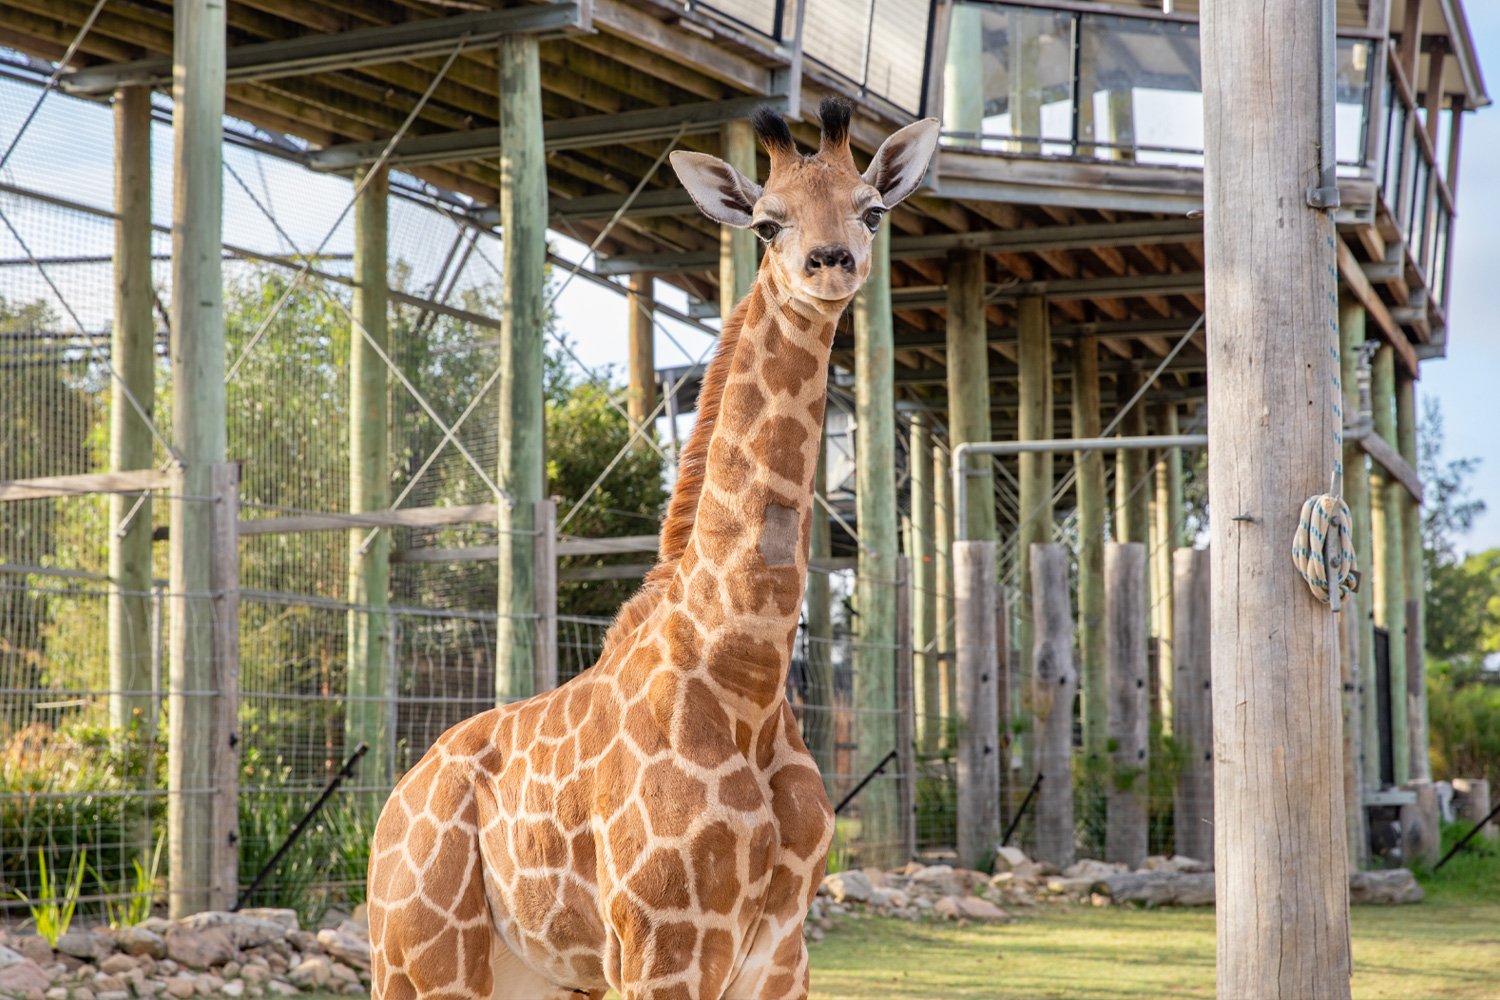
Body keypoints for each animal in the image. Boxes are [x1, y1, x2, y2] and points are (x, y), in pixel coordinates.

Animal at [366, 98, 939, 1000]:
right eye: (767, 223)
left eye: (872, 209)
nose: (831, 261)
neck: (746, 676)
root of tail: (395, 799)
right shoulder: (663, 945)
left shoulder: (781, 956)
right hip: (422, 963)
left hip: (538, 976)